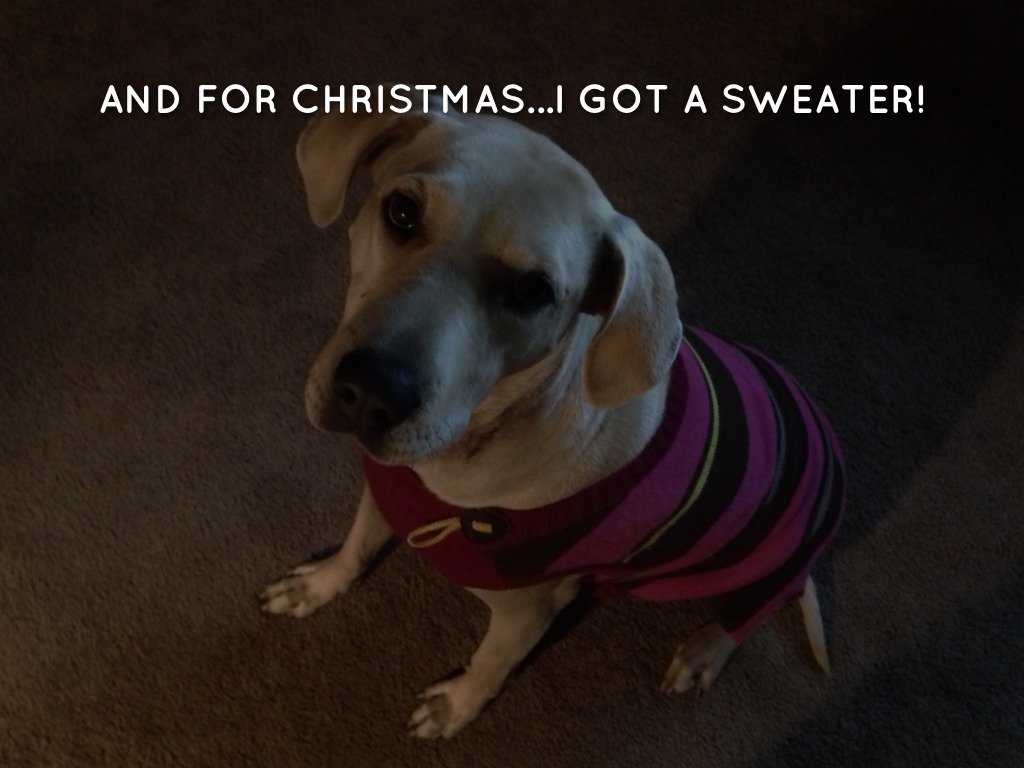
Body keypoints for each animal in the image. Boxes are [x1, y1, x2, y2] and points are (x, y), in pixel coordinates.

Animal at [262, 96, 845, 739]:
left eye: (532, 291)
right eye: (402, 211)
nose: (370, 392)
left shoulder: (530, 612)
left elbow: (491, 663)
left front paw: (457, 706)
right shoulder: (388, 491)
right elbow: (358, 545)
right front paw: (321, 583)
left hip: (751, 574)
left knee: (747, 617)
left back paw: (704, 652)